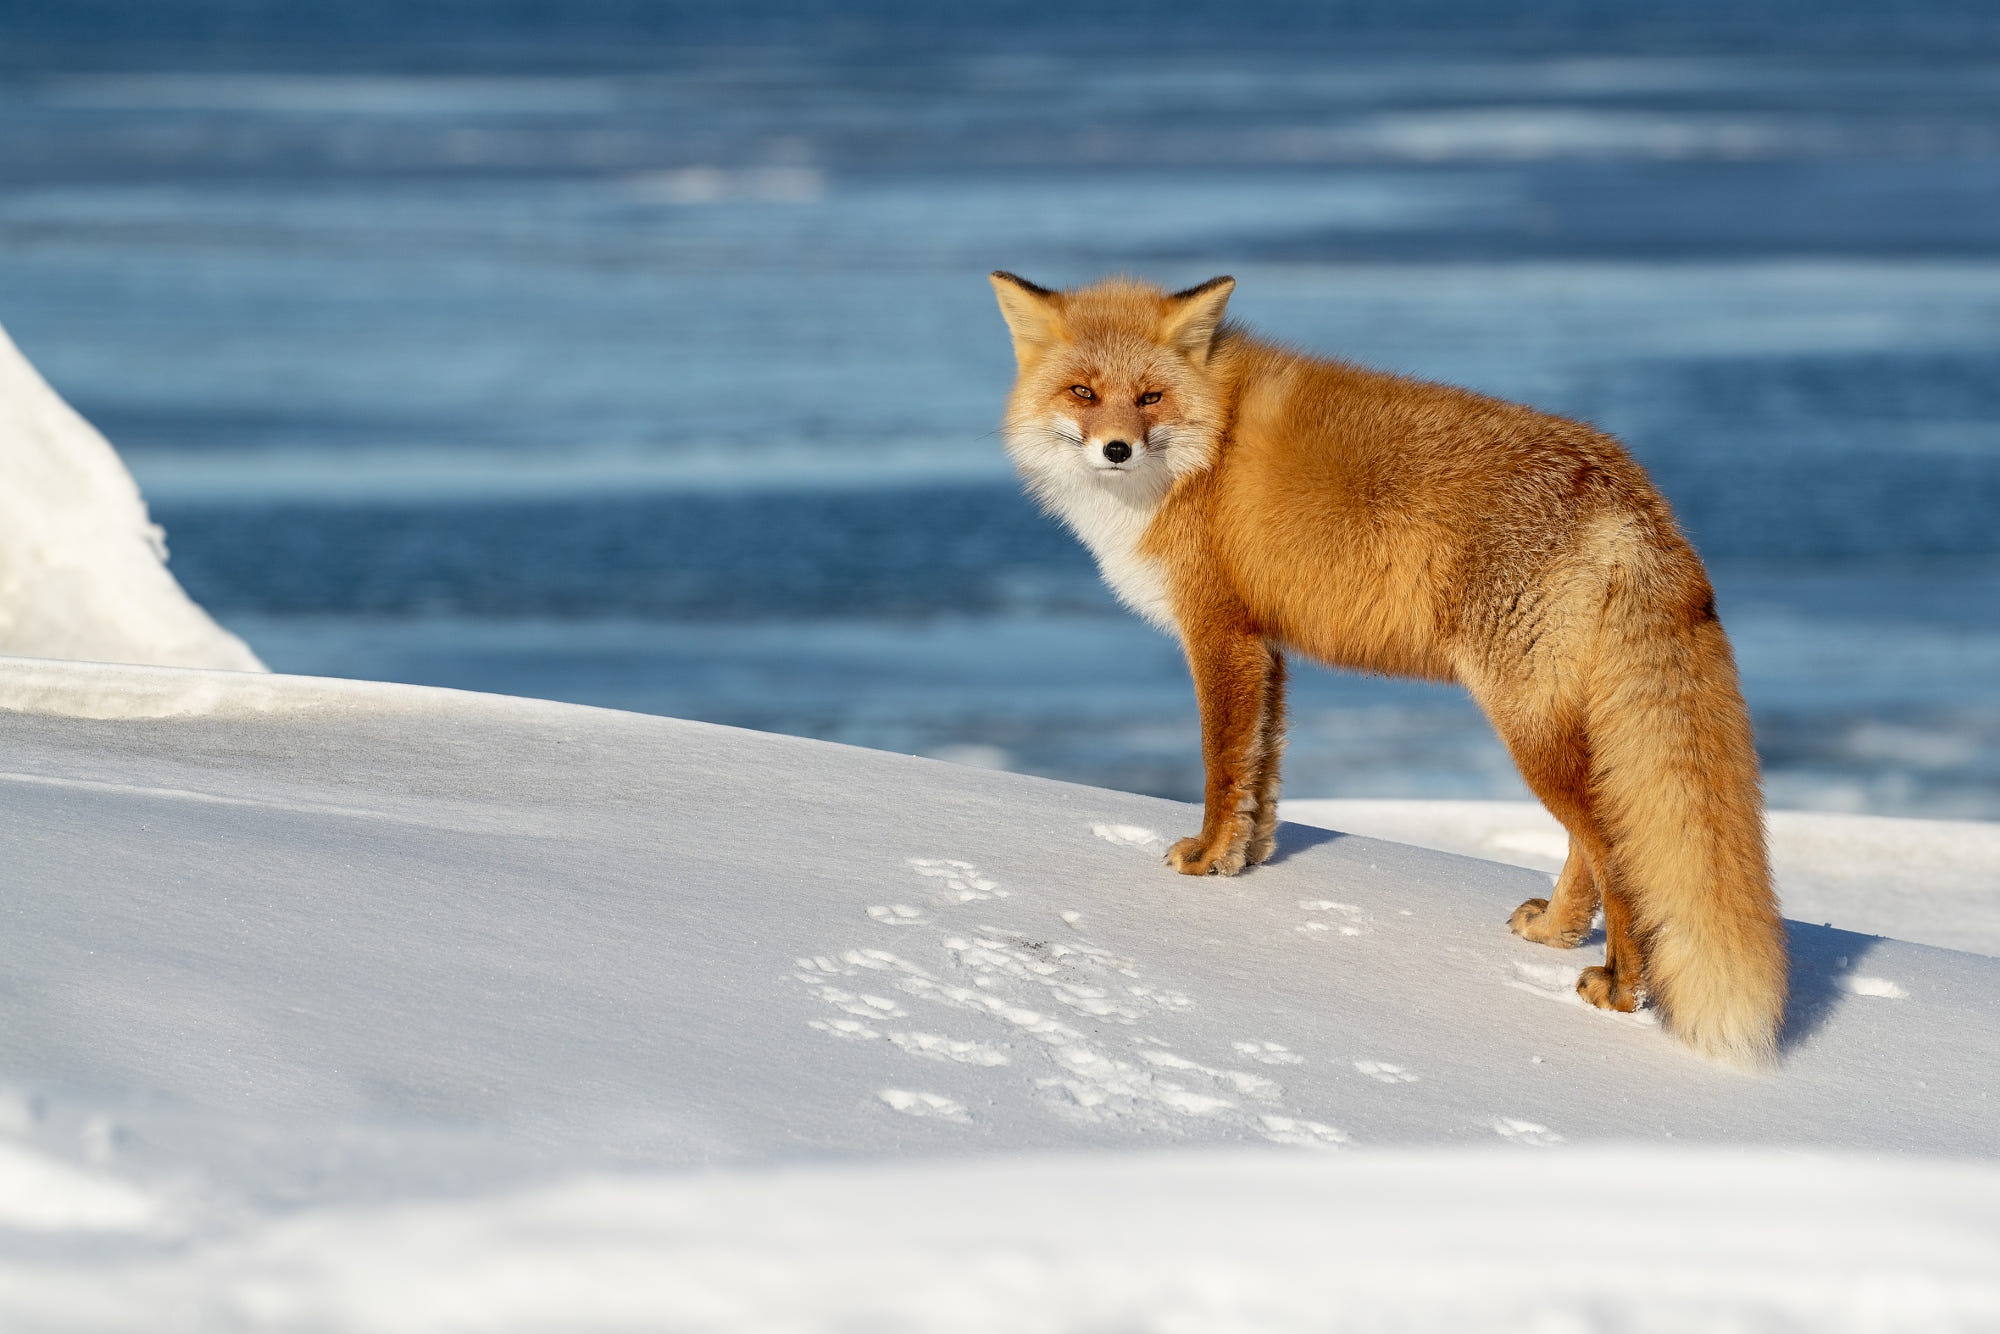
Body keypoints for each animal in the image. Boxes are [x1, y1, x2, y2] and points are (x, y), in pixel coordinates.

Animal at [992, 272, 1792, 1064]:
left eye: (1150, 397)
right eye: (1083, 393)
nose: (1117, 449)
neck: (1205, 452)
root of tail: (1630, 491)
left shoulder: (1219, 633)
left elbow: (1223, 768)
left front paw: (1206, 859)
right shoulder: (1266, 644)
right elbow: (1262, 778)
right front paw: (1245, 862)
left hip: (1526, 725)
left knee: (1618, 855)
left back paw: (1621, 989)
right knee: (1588, 848)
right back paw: (1554, 934)